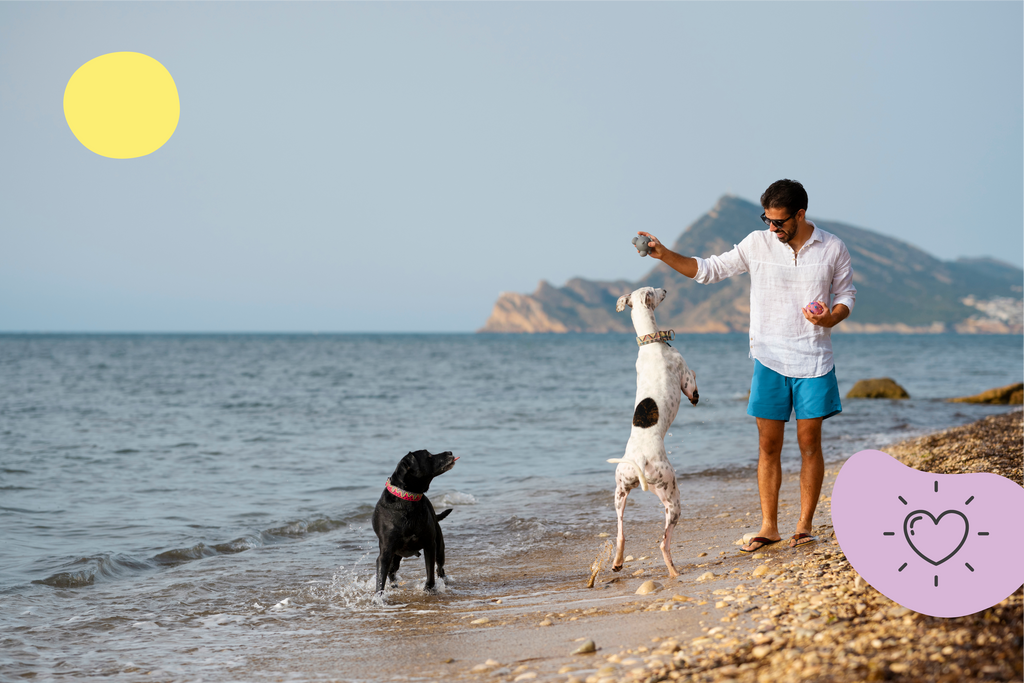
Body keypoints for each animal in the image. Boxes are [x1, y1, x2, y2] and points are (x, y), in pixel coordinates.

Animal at [372, 450, 456, 593]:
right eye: (429, 456)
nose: (450, 452)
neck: (408, 499)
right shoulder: (385, 552)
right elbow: (381, 579)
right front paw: (378, 597)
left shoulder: (430, 544)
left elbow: (430, 572)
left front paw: (429, 589)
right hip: (395, 556)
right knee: (391, 572)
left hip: (439, 547)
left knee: (440, 568)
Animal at [606, 286, 696, 581]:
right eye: (653, 291)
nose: (665, 287)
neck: (650, 342)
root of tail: (640, 461)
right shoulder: (686, 377)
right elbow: (692, 382)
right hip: (673, 499)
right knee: (663, 542)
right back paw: (673, 570)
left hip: (620, 493)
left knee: (621, 532)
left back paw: (618, 562)